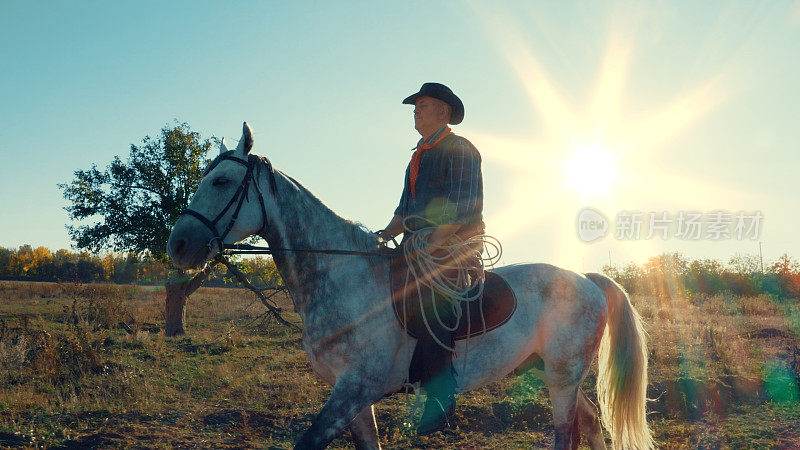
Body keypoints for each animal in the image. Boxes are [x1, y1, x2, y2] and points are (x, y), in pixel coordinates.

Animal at [166, 123, 652, 450]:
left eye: (222, 181)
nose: (179, 245)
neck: (345, 279)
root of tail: (587, 281)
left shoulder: (354, 389)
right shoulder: (355, 396)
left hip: (562, 376)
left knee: (568, 432)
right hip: (546, 370)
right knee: (591, 426)